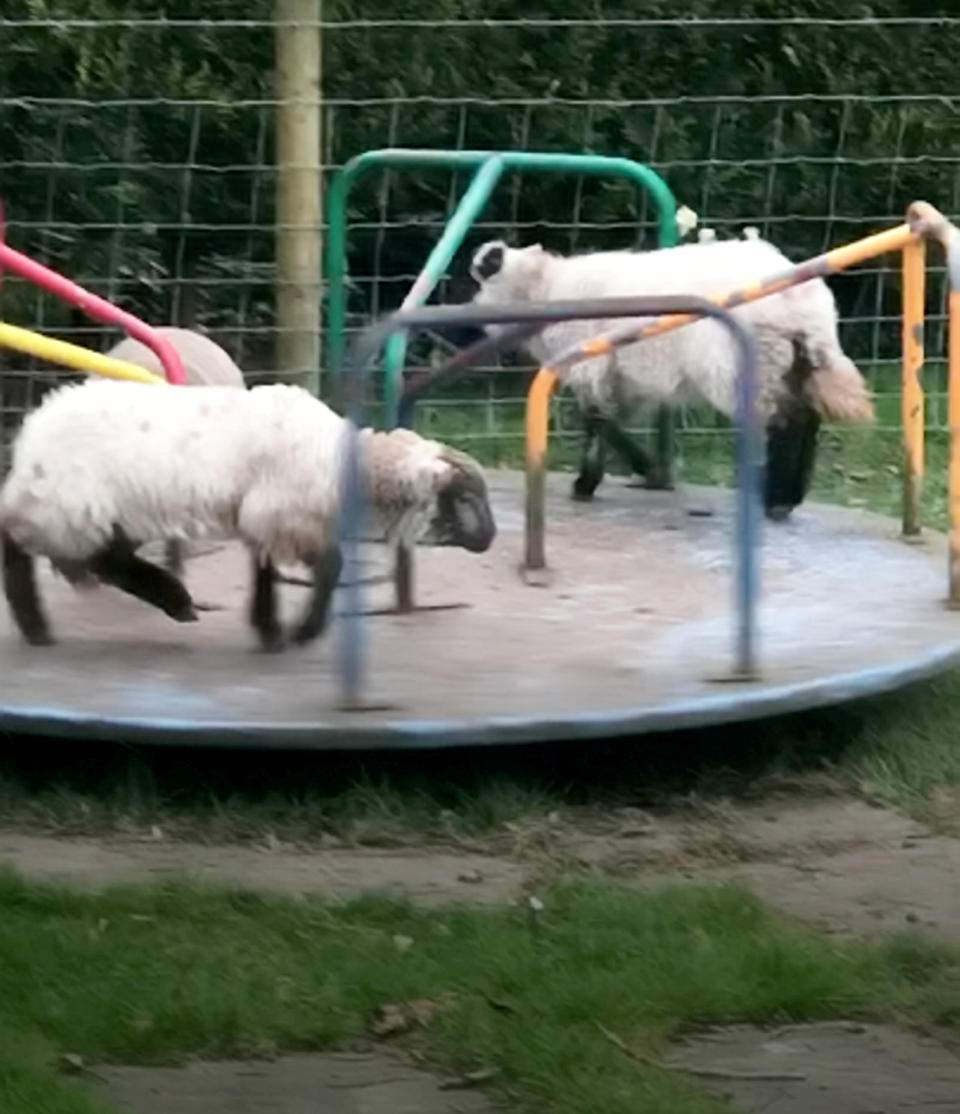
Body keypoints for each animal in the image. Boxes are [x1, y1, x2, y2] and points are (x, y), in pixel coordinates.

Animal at [0, 378, 496, 650]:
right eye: (467, 499)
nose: (490, 538)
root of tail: (31, 434)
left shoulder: (266, 520)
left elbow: (264, 574)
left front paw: (269, 630)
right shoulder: (287, 518)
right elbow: (331, 566)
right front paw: (303, 632)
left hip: (100, 511)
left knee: (107, 560)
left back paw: (172, 602)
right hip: (69, 505)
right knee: (24, 545)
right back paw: (38, 624)